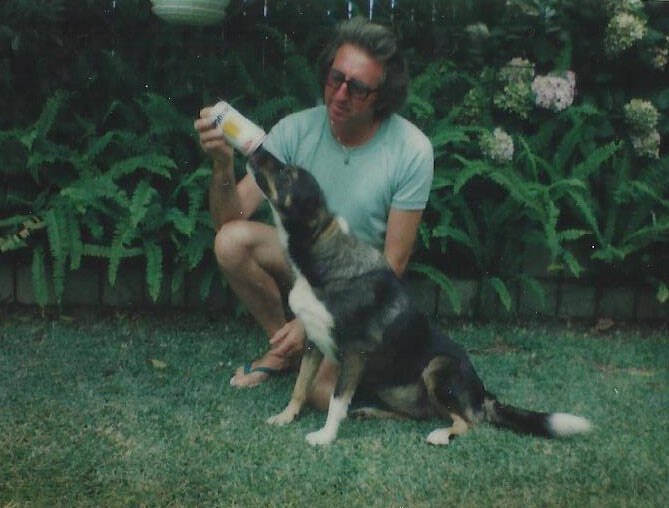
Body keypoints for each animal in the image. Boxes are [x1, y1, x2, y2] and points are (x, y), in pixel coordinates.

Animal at [247, 147, 592, 446]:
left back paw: (442, 434)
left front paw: (325, 437)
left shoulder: (355, 352)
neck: (321, 261)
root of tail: (483, 395)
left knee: (468, 422)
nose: (256, 151)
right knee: (418, 414)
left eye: (287, 173)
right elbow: (300, 385)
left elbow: (336, 401)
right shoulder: (312, 341)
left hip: (437, 367)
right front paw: (286, 416)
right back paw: (372, 412)